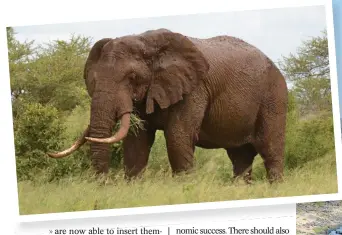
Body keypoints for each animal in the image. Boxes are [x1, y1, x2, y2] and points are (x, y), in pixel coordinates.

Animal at [46, 28, 288, 184]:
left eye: (132, 77)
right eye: (93, 81)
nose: (103, 184)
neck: (147, 42)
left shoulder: (194, 89)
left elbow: (177, 137)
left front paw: (185, 189)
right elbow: (137, 141)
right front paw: (133, 188)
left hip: (273, 97)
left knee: (270, 150)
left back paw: (275, 189)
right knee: (240, 157)